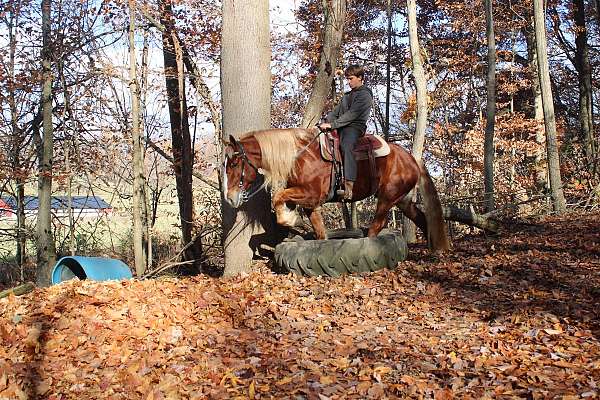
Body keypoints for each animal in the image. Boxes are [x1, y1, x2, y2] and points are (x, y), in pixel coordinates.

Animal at [223, 127, 448, 250]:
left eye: (233, 163)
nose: (230, 198)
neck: (300, 157)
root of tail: (411, 158)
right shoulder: (310, 203)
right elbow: (319, 230)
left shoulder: (313, 195)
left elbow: (278, 196)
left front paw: (290, 219)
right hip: (402, 200)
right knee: (421, 218)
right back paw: (436, 250)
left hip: (387, 198)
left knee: (377, 226)